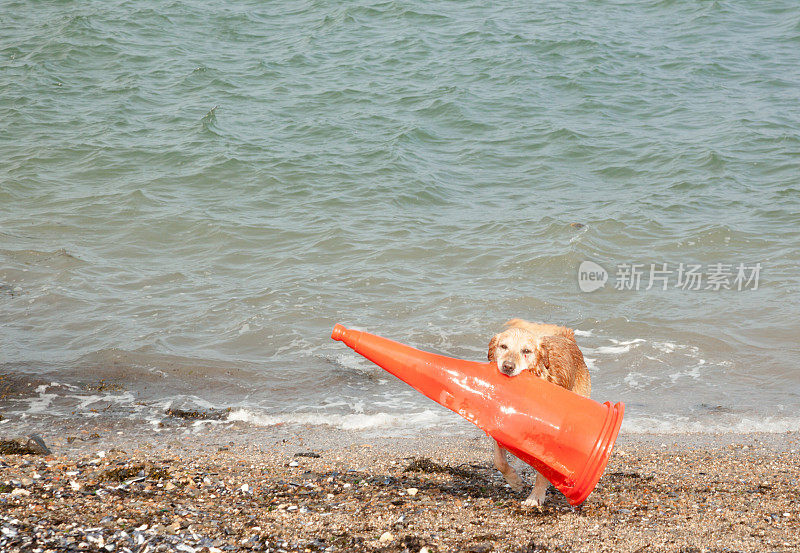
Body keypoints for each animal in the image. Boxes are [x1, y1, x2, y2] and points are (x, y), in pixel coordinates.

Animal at [484, 320, 592, 504]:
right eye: (503, 346)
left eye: (526, 351)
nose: (507, 366)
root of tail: (568, 338)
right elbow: (499, 461)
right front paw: (514, 481)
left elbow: (542, 472)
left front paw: (535, 497)